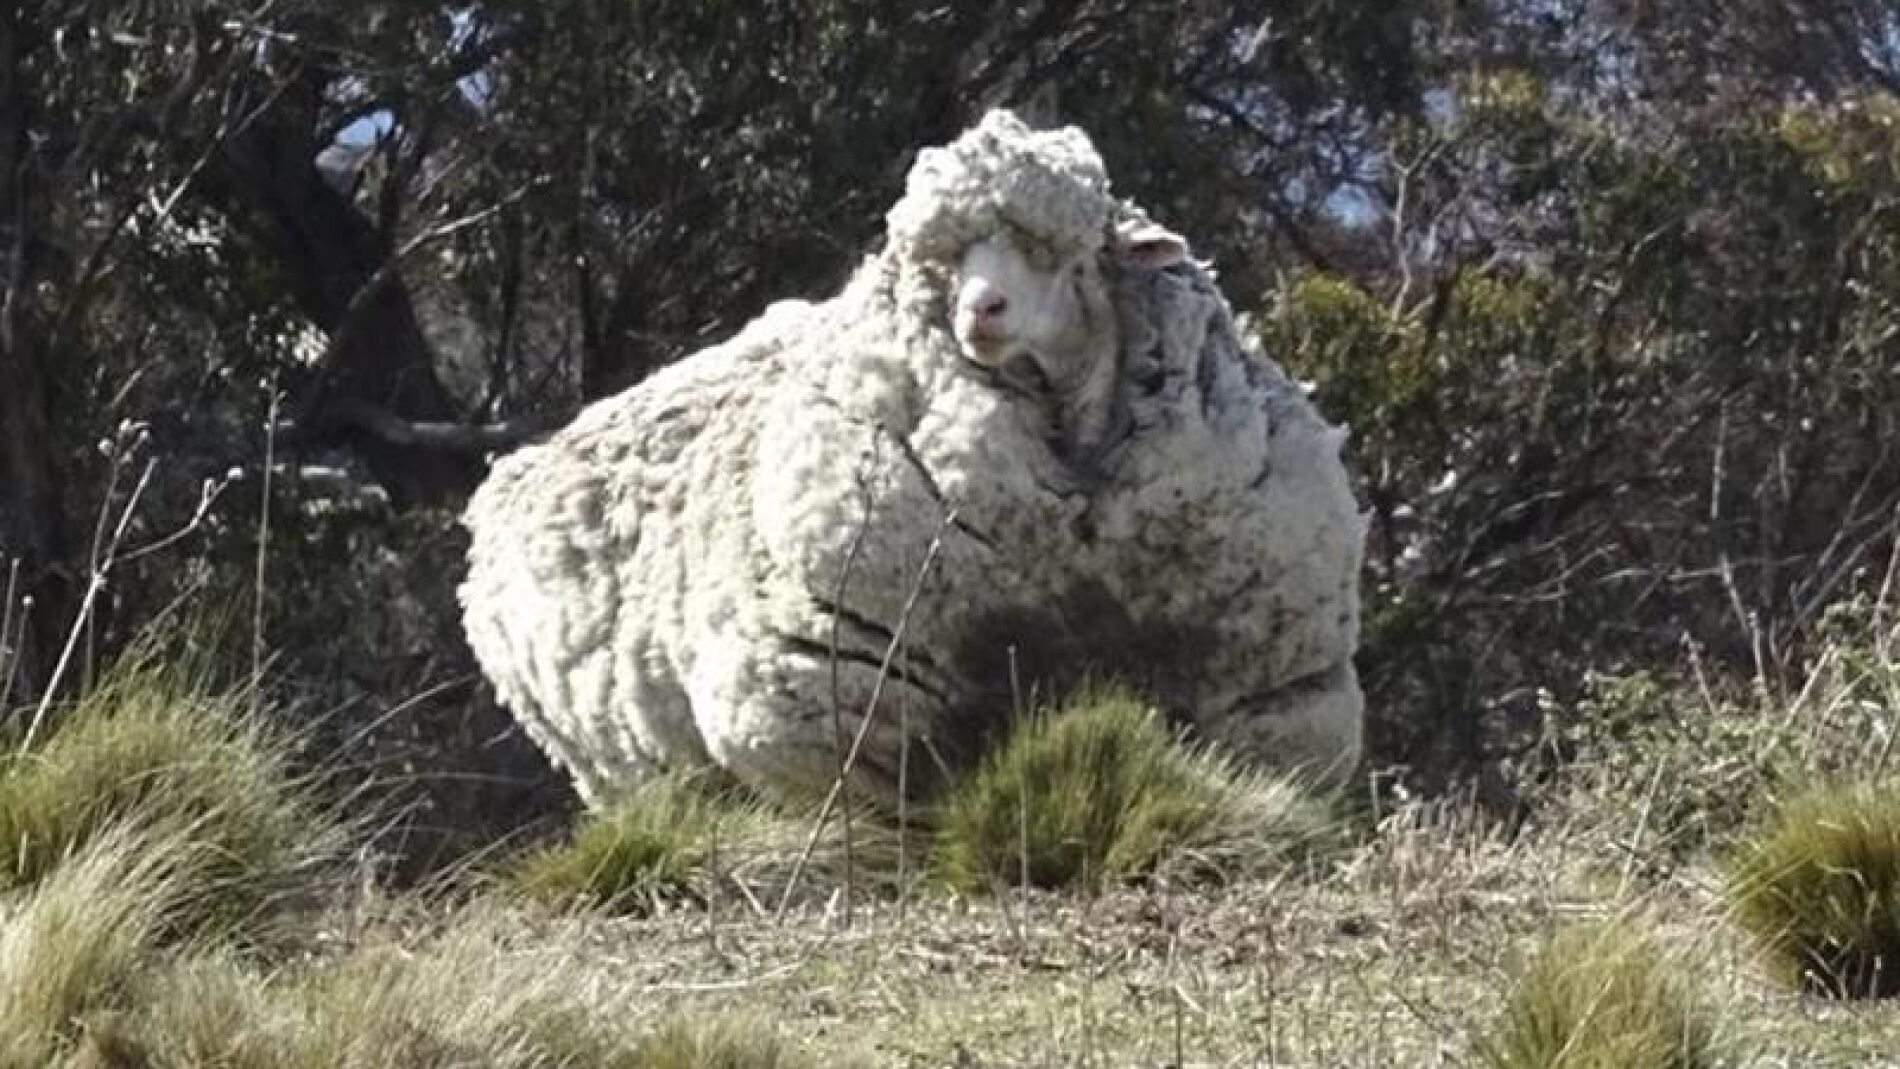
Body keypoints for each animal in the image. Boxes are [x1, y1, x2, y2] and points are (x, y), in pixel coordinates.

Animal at [460, 109, 1366, 807]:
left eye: (1060, 252)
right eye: (944, 261)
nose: (981, 311)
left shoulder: (1271, 694)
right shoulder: (838, 700)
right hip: (621, 768)